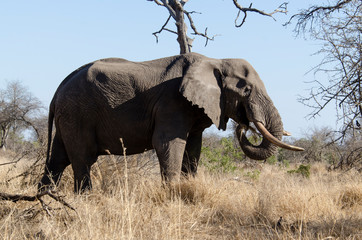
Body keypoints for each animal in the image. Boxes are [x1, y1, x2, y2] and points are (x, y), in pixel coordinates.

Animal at [37, 52, 302, 193]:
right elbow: (167, 143)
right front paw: (172, 194)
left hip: (69, 116)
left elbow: (193, 148)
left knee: (58, 160)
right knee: (82, 159)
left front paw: (188, 188)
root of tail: (58, 89)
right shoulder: (172, 103)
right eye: (246, 89)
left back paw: (46, 200)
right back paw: (85, 199)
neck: (215, 60)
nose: (244, 125)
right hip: (78, 113)